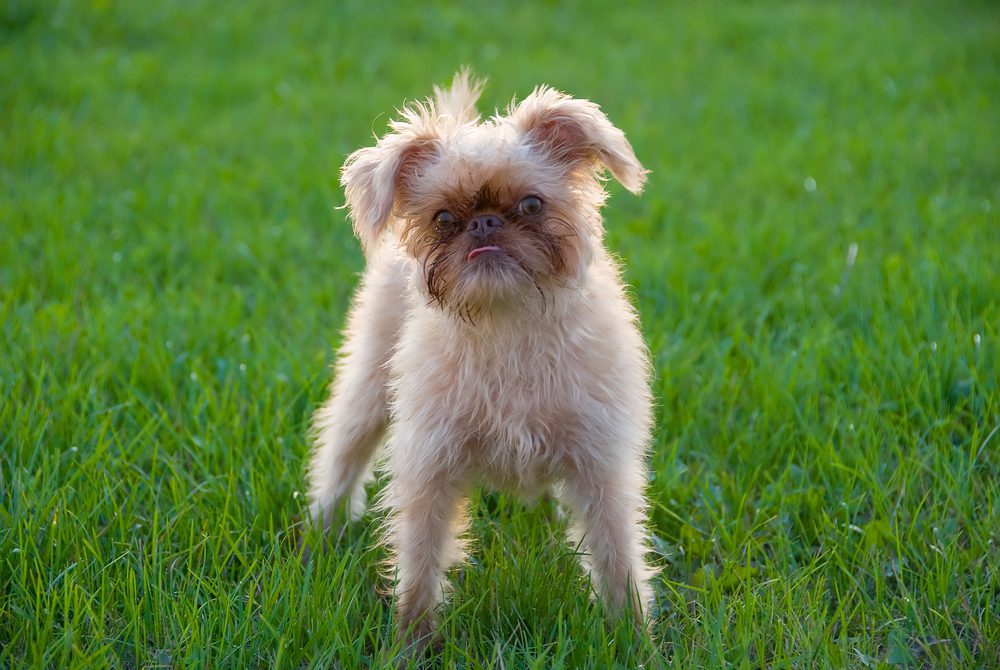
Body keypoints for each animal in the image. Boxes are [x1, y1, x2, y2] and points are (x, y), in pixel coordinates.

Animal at [308, 71, 660, 644]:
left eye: (533, 205)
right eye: (444, 218)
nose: (485, 224)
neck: (506, 322)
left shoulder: (601, 465)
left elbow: (617, 555)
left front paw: (634, 639)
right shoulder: (429, 467)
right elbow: (420, 561)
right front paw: (411, 642)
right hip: (368, 387)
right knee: (343, 452)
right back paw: (322, 529)